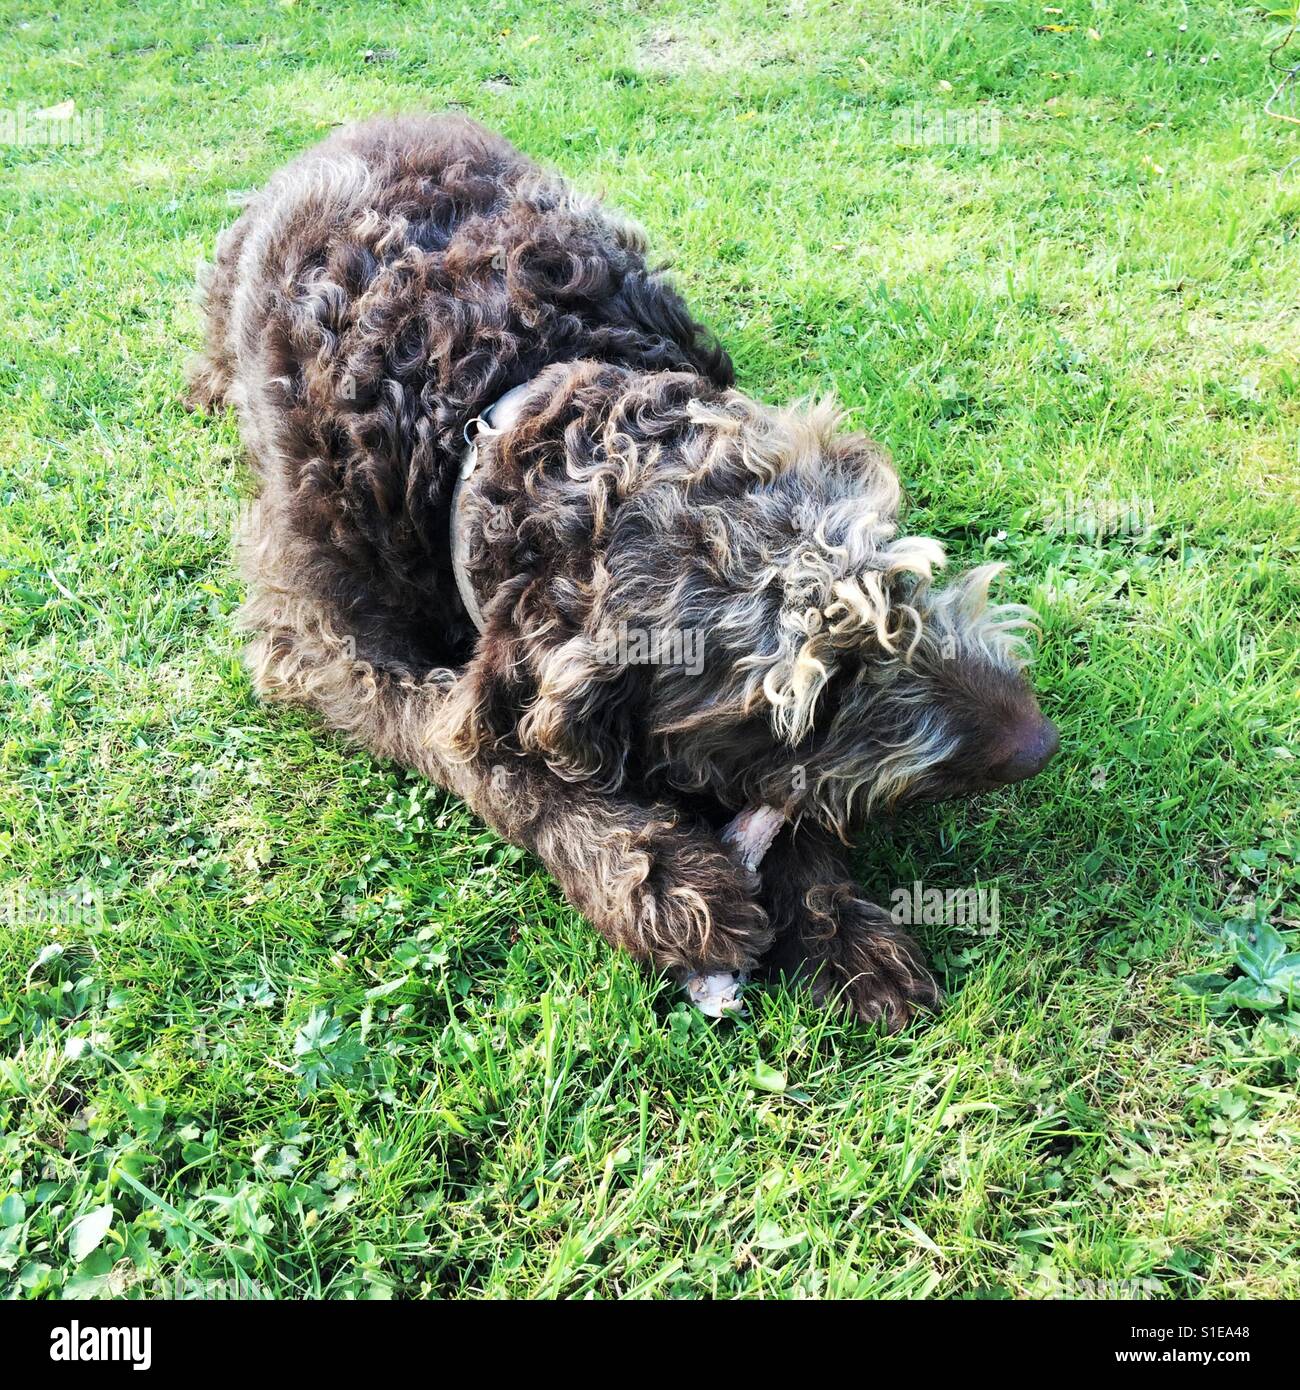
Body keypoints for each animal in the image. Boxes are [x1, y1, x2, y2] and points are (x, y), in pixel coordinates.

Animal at [196, 113, 1067, 1034]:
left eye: (899, 588)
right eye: (820, 695)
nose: (1038, 745)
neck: (482, 396)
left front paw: (834, 923)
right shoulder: (319, 639)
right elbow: (468, 744)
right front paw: (652, 874)